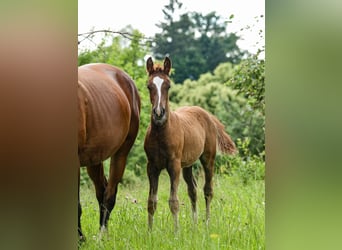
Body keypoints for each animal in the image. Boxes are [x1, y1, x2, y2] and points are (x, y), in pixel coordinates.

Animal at [78, 63, 140, 239]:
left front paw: (80, 239)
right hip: (94, 158)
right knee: (102, 190)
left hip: (121, 153)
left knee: (109, 194)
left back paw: (102, 235)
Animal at [143, 56, 236, 230]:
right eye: (149, 86)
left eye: (168, 85)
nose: (159, 113)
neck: (161, 133)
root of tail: (207, 114)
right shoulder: (152, 166)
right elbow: (151, 201)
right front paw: (150, 232)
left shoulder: (174, 165)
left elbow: (173, 201)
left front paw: (176, 232)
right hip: (187, 165)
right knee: (193, 190)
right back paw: (194, 225)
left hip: (208, 158)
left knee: (208, 190)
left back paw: (206, 224)